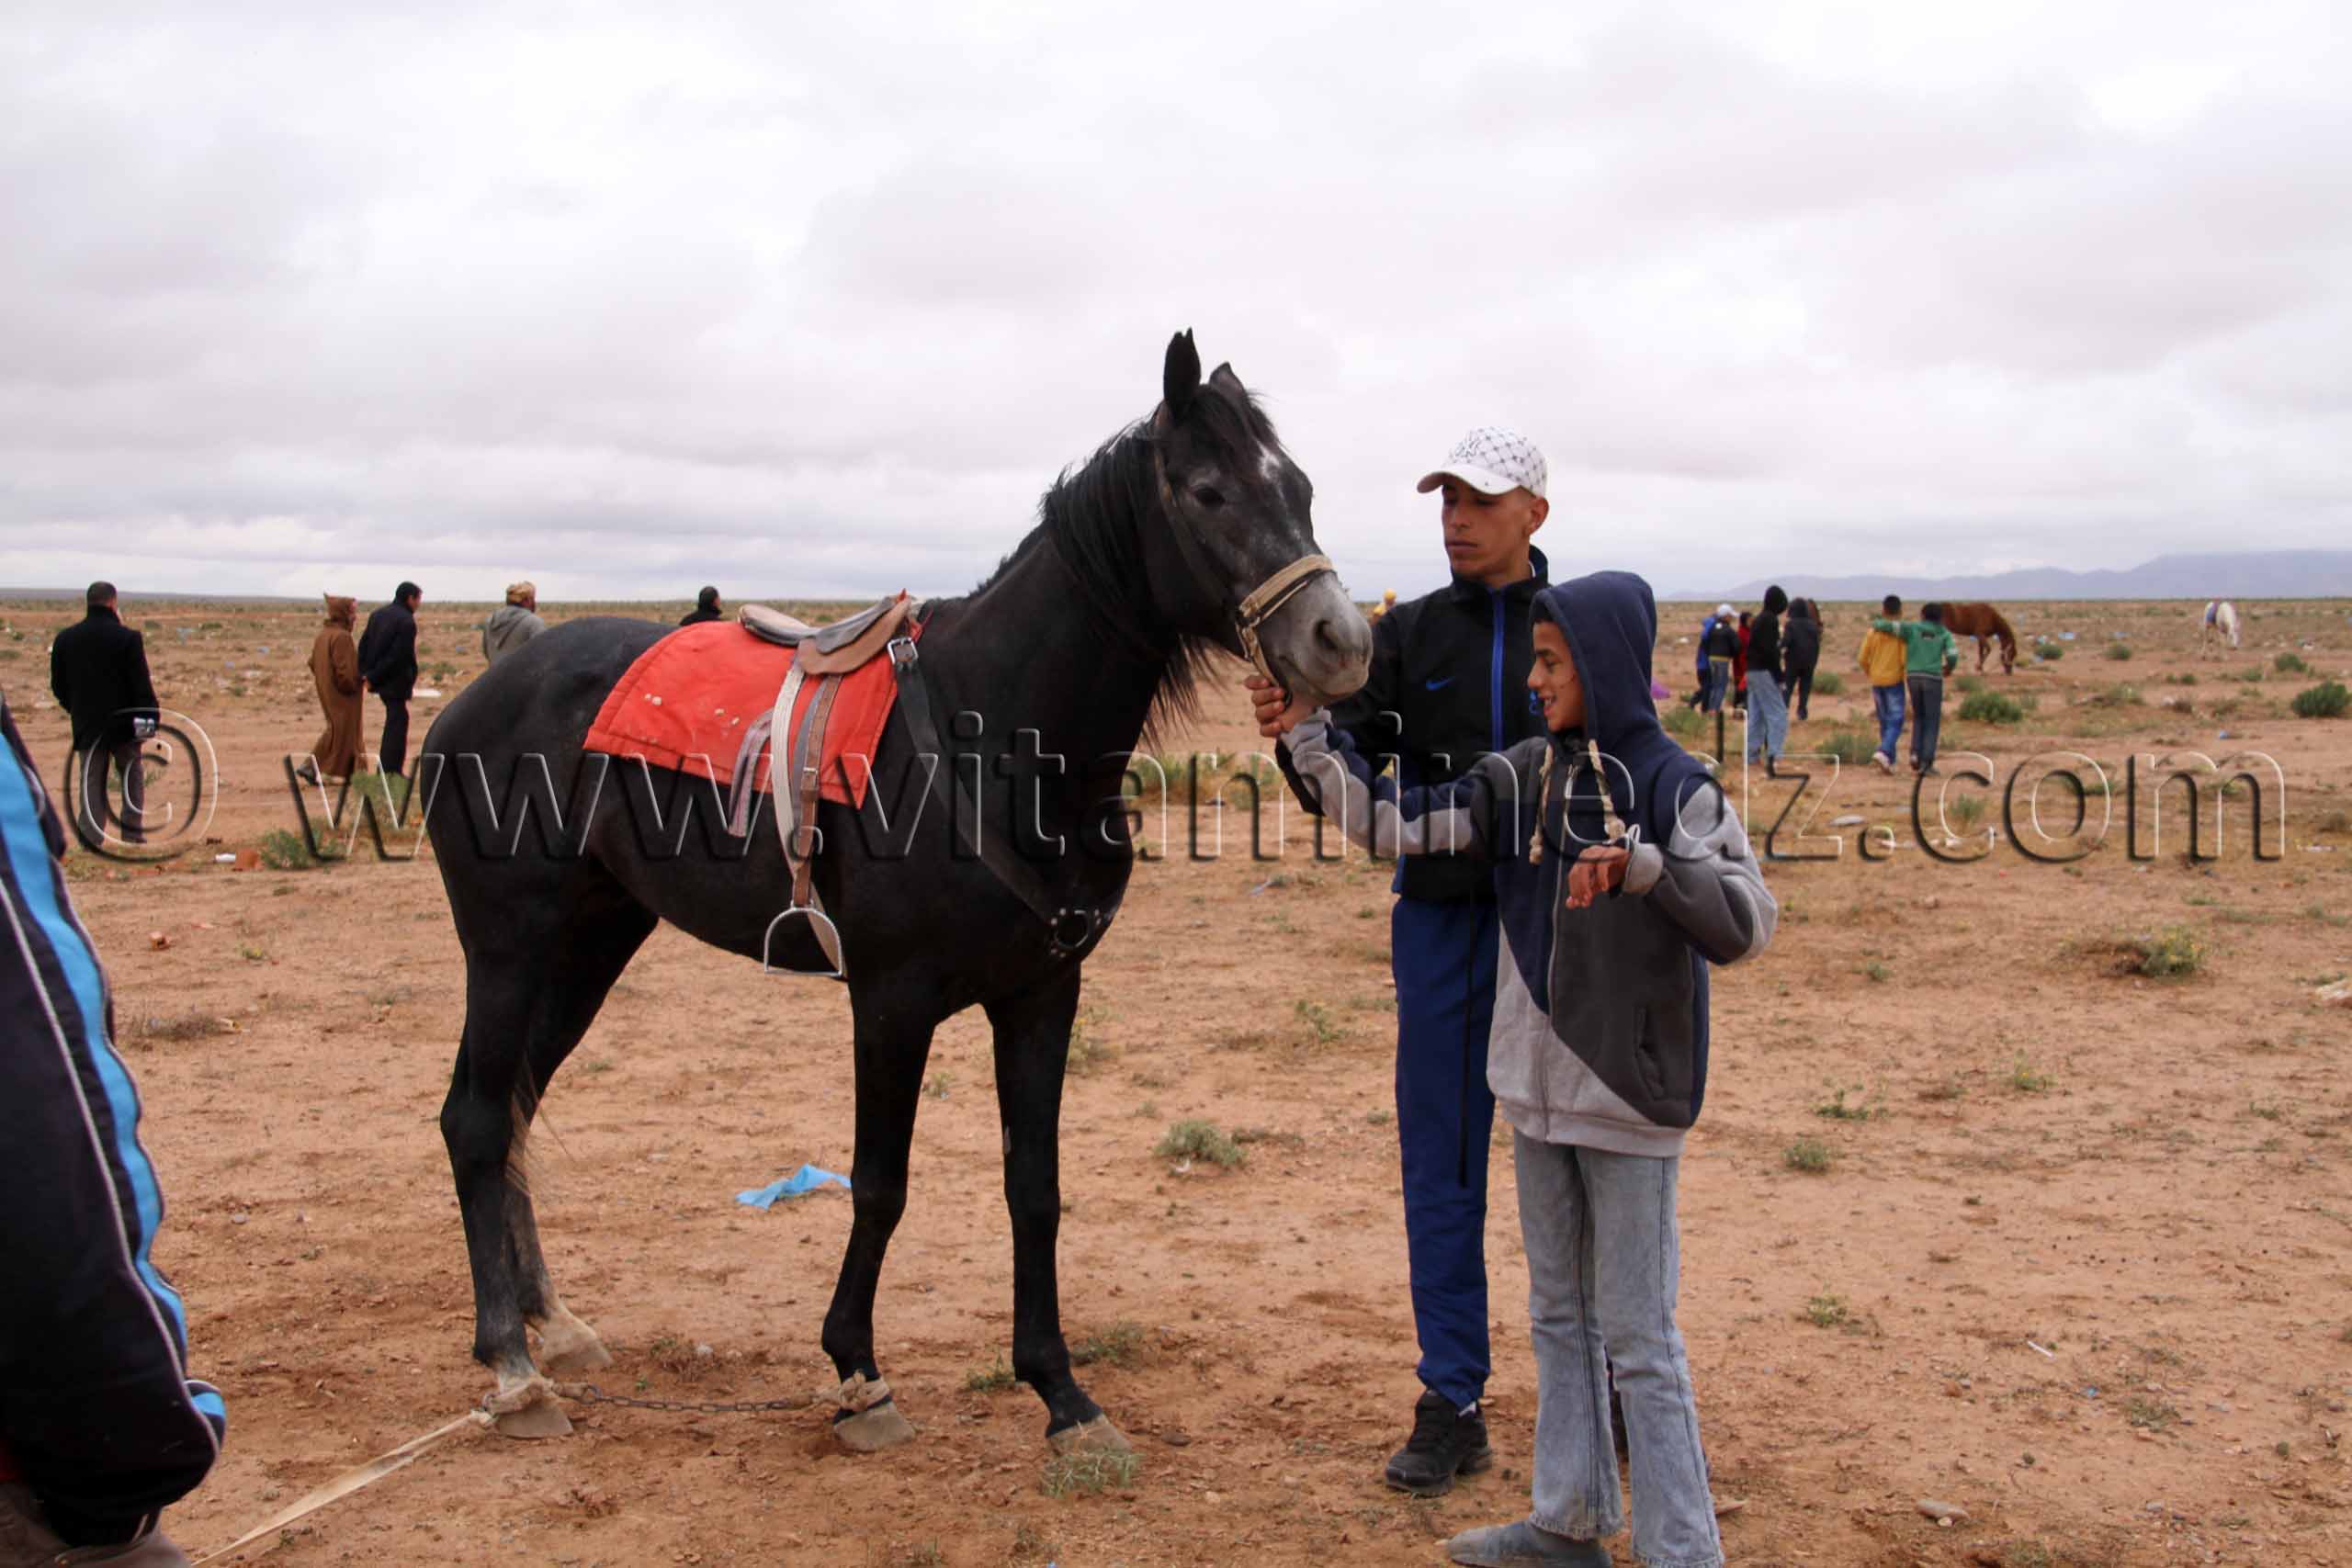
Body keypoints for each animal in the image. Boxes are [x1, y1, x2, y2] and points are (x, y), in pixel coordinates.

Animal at [419, 331, 1371, 1454]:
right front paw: (858, 1373)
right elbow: (879, 1185)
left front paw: (1059, 1392)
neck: (998, 732)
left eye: (1299, 486)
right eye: (1210, 491)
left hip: (592, 940)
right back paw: (512, 1364)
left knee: (516, 1107)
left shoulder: (1042, 994)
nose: (1341, 640)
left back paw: (551, 1322)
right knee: (478, 1118)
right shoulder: (890, 1001)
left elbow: (1034, 1186)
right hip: (509, 946)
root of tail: (473, 702)